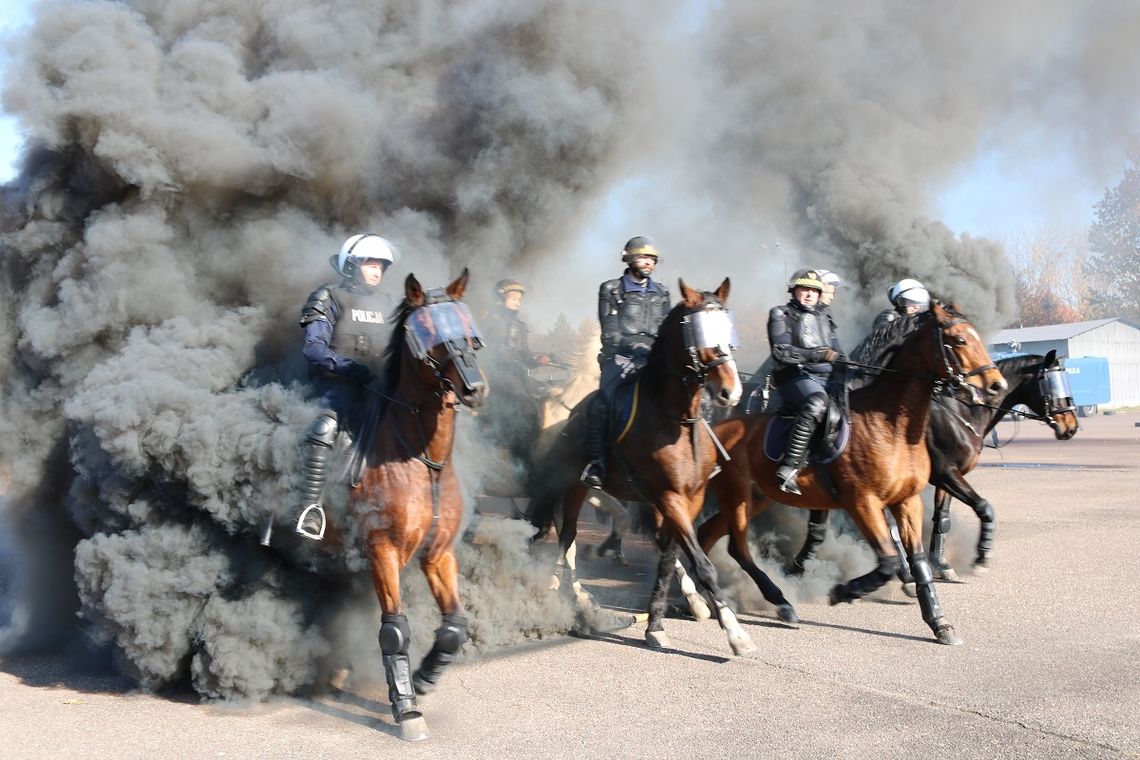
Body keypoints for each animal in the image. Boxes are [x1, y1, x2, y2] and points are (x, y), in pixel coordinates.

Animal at [351, 268, 485, 742]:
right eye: (433, 337)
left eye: (470, 331)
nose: (475, 389)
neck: (422, 461)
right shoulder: (382, 549)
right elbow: (395, 629)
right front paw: (406, 708)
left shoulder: (438, 552)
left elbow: (455, 625)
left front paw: (426, 676)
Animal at [528, 279, 770, 656]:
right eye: (698, 331)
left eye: (727, 328)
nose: (731, 392)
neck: (675, 419)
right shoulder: (669, 497)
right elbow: (702, 564)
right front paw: (736, 633)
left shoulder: (686, 498)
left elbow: (670, 557)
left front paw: (657, 623)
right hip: (576, 487)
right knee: (567, 537)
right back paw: (569, 594)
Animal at [693, 303, 1007, 647]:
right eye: (959, 340)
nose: (997, 385)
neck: (889, 423)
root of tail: (715, 427)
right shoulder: (863, 503)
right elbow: (888, 560)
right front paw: (843, 591)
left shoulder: (907, 501)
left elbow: (919, 561)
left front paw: (939, 622)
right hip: (738, 497)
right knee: (736, 548)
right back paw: (777, 602)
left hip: (753, 498)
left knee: (707, 534)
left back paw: (707, 598)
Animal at [788, 350, 1080, 583]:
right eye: (1052, 382)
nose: (1071, 427)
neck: (961, 412)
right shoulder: (945, 473)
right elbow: (984, 507)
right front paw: (980, 559)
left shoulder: (948, 478)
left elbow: (942, 519)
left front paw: (940, 565)